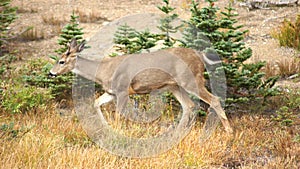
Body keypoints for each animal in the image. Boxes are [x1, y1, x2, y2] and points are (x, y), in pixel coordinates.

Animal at [48, 38, 232, 133]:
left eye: (61, 61)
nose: (51, 73)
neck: (102, 71)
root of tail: (200, 55)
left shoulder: (122, 90)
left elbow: (118, 114)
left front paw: (116, 132)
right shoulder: (111, 92)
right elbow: (96, 103)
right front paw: (106, 127)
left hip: (191, 79)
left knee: (214, 99)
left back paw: (228, 132)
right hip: (175, 86)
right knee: (189, 105)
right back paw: (177, 132)